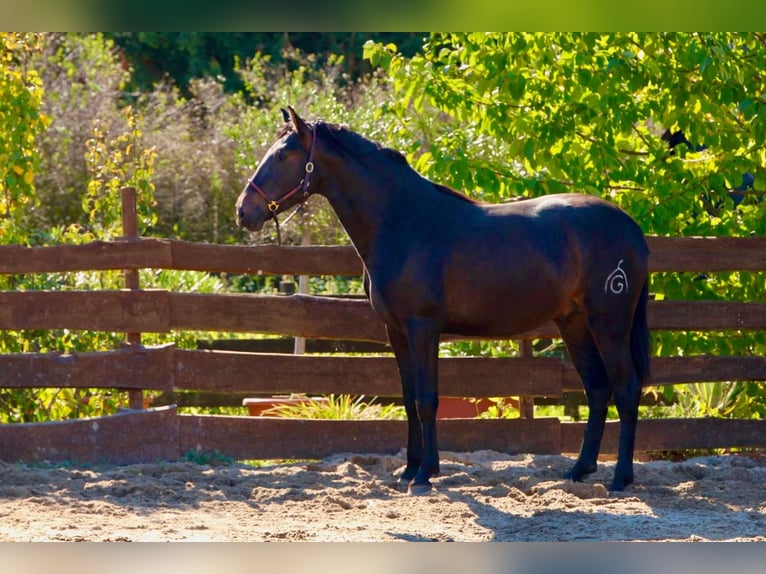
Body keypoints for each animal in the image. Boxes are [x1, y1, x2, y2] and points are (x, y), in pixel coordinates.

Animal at [235, 107, 651, 493]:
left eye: (283, 156)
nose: (244, 211)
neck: (403, 222)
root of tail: (631, 228)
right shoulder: (396, 332)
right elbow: (407, 399)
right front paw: (408, 470)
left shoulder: (423, 328)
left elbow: (427, 399)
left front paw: (425, 474)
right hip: (575, 323)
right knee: (597, 389)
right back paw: (579, 470)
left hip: (608, 324)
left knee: (626, 389)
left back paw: (621, 478)